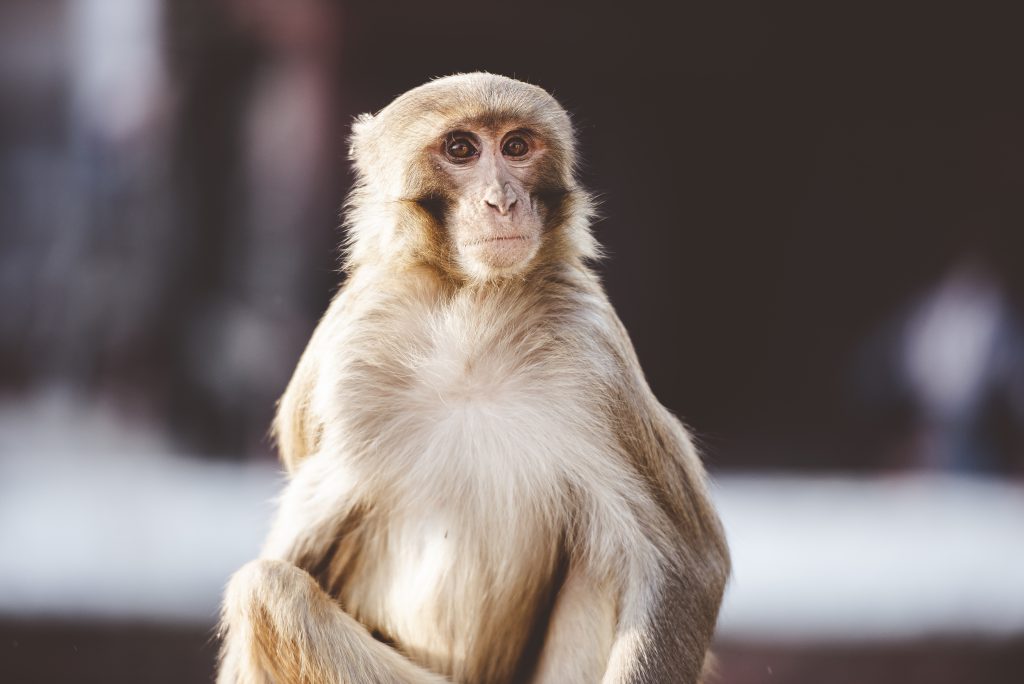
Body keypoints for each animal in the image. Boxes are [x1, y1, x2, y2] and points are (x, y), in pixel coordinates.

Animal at [218, 72, 729, 679]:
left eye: (516, 146)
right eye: (461, 149)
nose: (503, 200)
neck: (470, 315)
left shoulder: (593, 352)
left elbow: (685, 561)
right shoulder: (349, 357)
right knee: (266, 587)